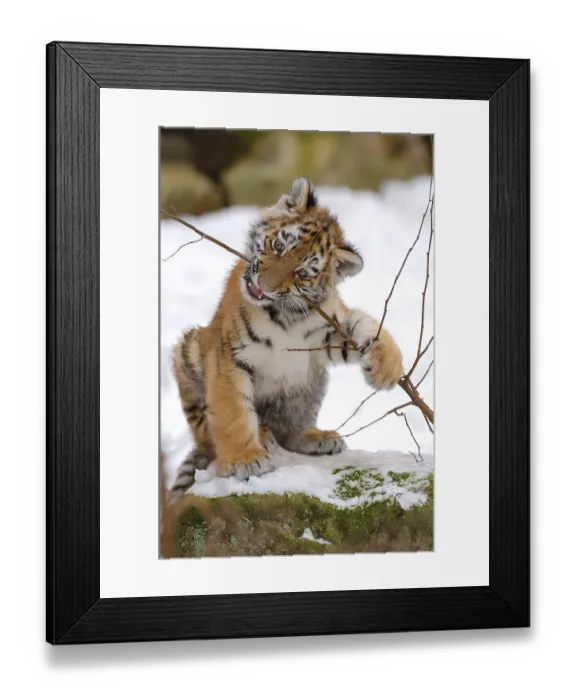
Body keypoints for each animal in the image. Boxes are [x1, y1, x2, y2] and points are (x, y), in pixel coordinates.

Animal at [169, 177, 404, 495]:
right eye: (279, 246)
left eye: (302, 273)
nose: (264, 285)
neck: (283, 315)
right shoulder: (229, 357)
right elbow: (233, 412)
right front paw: (244, 460)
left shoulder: (327, 332)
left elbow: (368, 325)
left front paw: (386, 368)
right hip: (189, 349)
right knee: (207, 433)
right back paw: (261, 433)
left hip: (310, 382)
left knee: (290, 430)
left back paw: (315, 437)